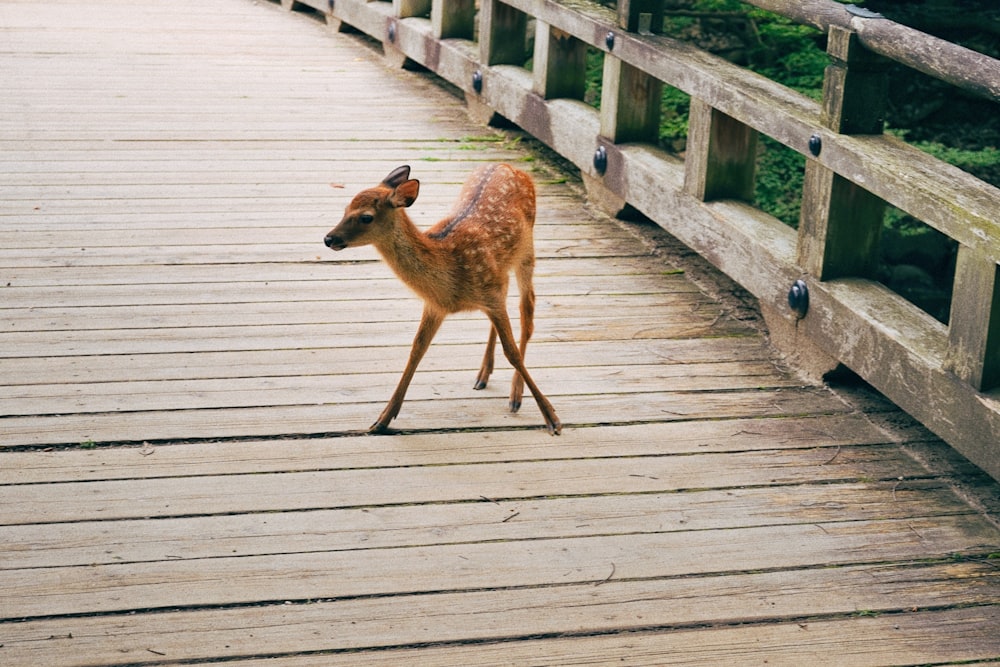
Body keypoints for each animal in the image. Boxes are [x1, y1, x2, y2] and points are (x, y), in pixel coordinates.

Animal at [326, 166, 564, 438]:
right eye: (345, 208)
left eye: (366, 217)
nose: (328, 239)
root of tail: (511, 167)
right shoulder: (436, 305)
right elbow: (417, 350)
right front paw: (382, 420)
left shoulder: (489, 293)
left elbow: (512, 352)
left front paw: (552, 418)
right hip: (502, 273)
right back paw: (483, 375)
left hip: (526, 251)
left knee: (528, 310)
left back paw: (516, 395)